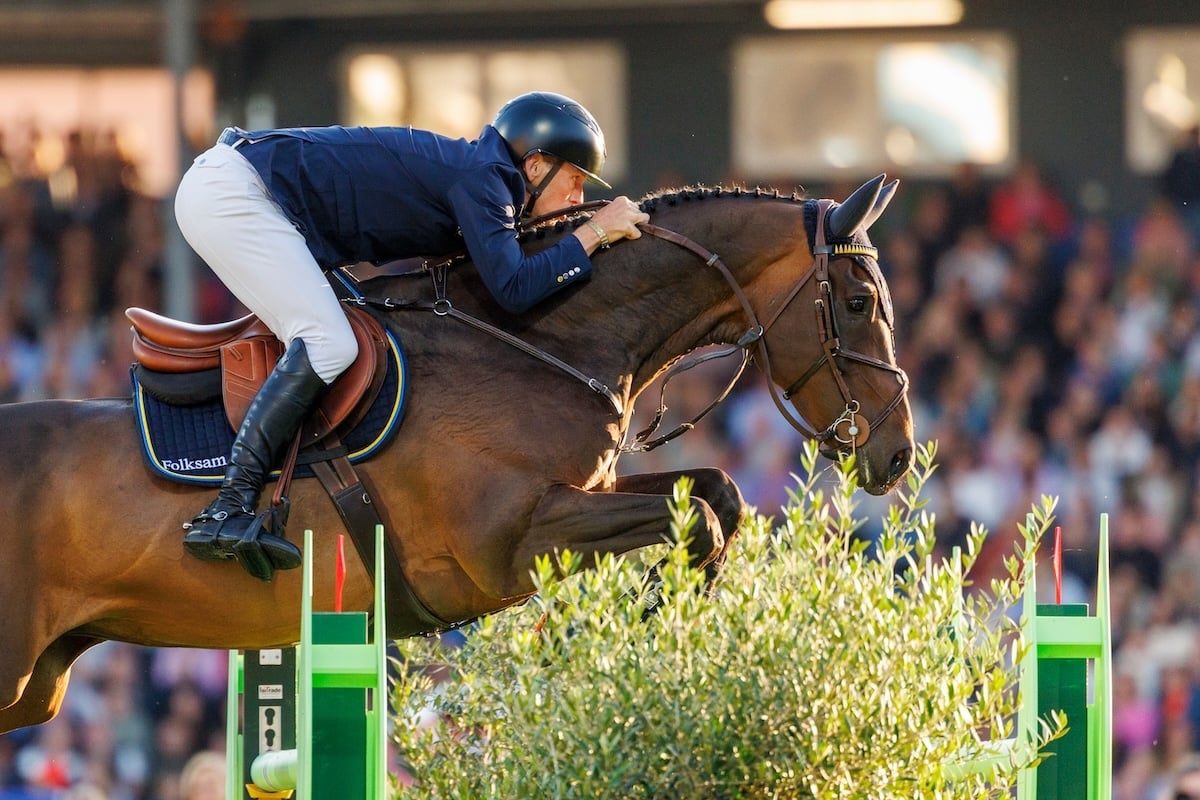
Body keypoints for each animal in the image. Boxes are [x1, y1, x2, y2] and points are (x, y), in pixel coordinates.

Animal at [0, 176, 907, 738]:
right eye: (859, 302)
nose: (897, 456)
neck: (541, 337)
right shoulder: (511, 541)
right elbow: (701, 520)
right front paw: (609, 631)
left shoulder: (584, 497)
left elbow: (715, 497)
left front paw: (657, 614)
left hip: (38, 686)